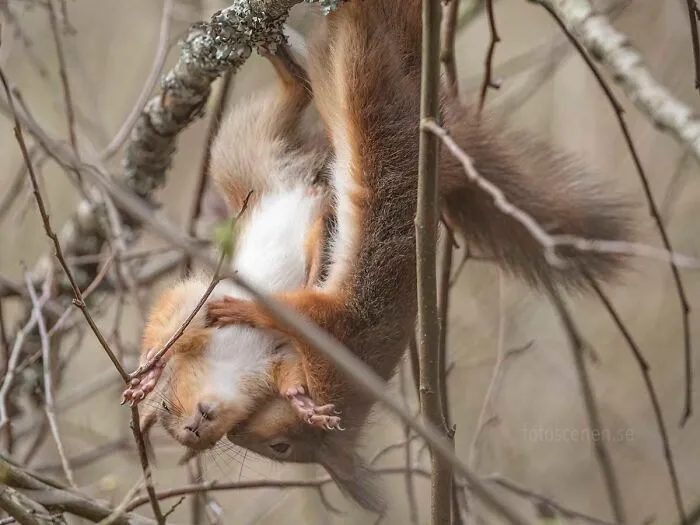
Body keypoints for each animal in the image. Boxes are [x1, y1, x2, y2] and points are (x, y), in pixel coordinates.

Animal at [203, 0, 634, 509]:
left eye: (279, 448)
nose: (231, 436)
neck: (341, 379)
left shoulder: (337, 328)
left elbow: (293, 313)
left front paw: (241, 309)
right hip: (356, 83)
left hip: (355, 74)